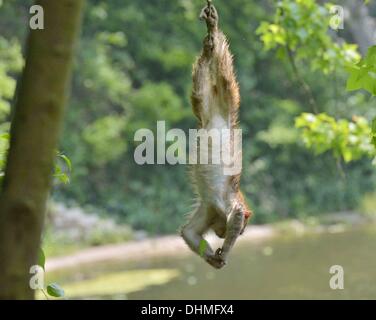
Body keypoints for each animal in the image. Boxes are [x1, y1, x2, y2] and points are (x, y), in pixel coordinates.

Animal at [180, 1, 253, 268]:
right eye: (242, 230)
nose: (225, 234)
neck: (219, 212)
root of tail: (221, 117)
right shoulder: (226, 205)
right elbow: (238, 213)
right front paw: (225, 252)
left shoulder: (209, 209)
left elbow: (189, 232)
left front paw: (213, 258)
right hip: (228, 98)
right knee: (223, 72)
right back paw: (215, 34)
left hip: (207, 104)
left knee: (200, 87)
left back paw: (208, 44)